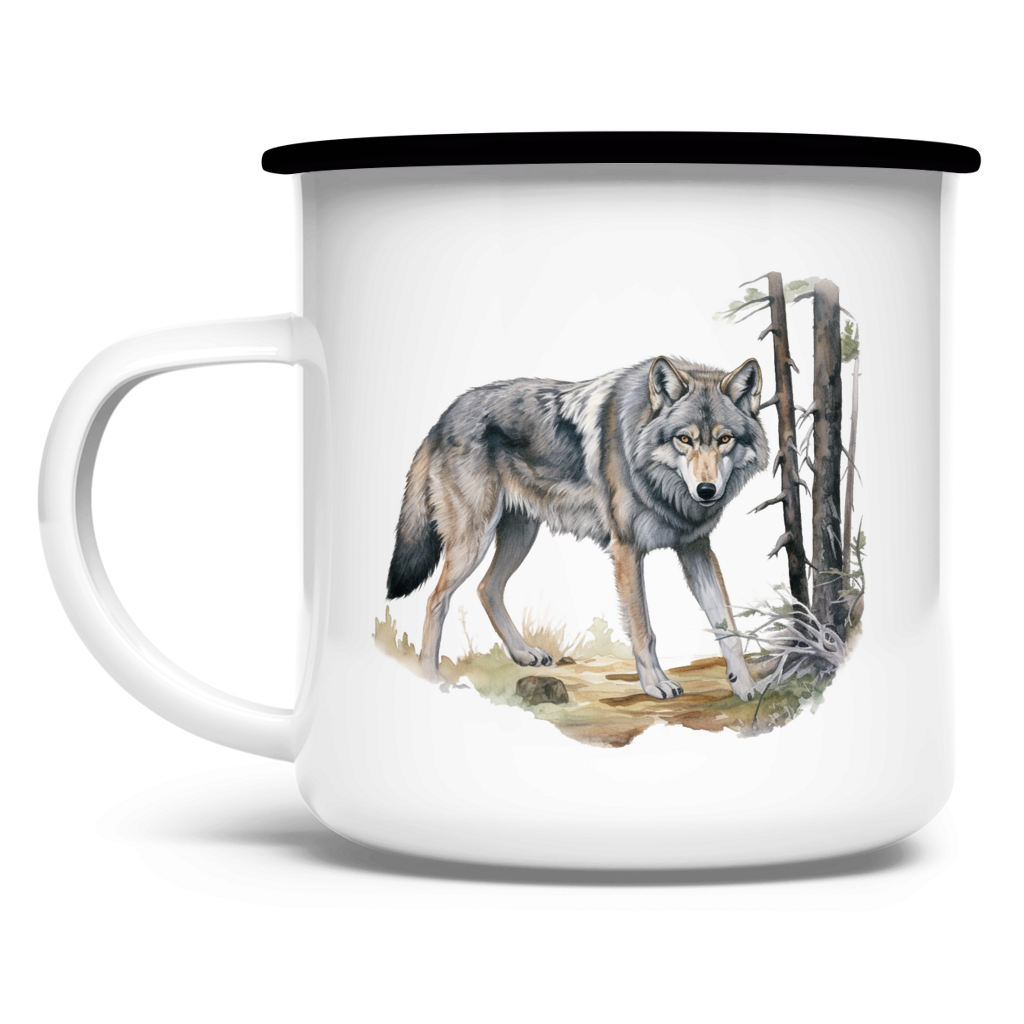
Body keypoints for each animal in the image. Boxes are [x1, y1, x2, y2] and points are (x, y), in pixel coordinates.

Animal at [384, 354, 772, 700]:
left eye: (725, 439)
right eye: (685, 439)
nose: (706, 490)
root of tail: (445, 416)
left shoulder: (696, 548)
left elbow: (728, 627)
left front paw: (745, 686)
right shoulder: (627, 550)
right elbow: (643, 631)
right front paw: (655, 685)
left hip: (520, 537)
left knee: (486, 589)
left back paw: (523, 653)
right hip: (473, 542)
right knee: (436, 600)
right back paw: (432, 677)